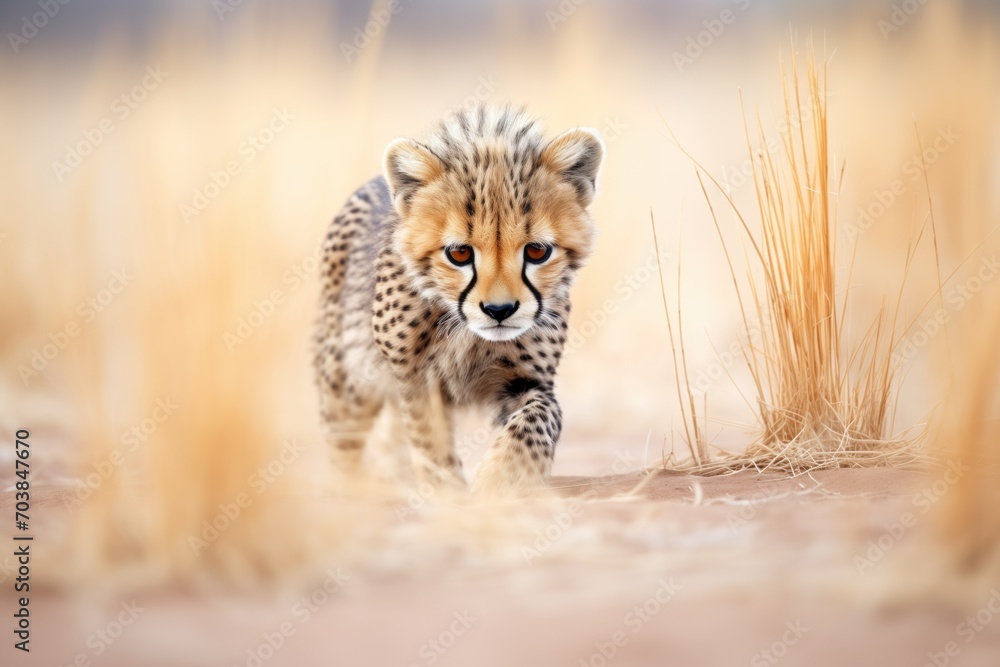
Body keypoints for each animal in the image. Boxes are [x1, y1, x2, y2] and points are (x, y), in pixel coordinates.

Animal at [313, 105, 604, 494]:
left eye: (537, 251)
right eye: (460, 253)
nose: (499, 310)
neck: (467, 332)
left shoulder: (528, 378)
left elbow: (542, 415)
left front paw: (504, 474)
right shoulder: (416, 379)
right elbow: (429, 440)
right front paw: (447, 493)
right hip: (345, 381)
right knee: (344, 446)